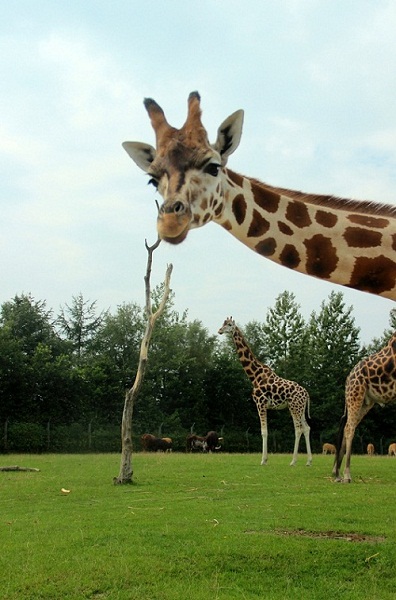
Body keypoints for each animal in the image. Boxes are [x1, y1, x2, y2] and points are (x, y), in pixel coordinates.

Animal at [217, 316, 312, 466]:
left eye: (230, 325)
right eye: (223, 323)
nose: (220, 331)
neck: (254, 376)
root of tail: (306, 394)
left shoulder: (260, 403)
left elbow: (264, 431)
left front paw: (263, 460)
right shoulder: (263, 405)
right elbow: (265, 430)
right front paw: (265, 459)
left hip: (294, 407)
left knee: (298, 429)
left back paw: (293, 461)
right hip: (300, 408)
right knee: (307, 428)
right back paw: (308, 461)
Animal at [336, 332, 396, 482]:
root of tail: (348, 379)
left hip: (366, 402)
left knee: (347, 427)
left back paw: (337, 473)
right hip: (355, 395)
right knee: (349, 428)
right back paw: (346, 475)